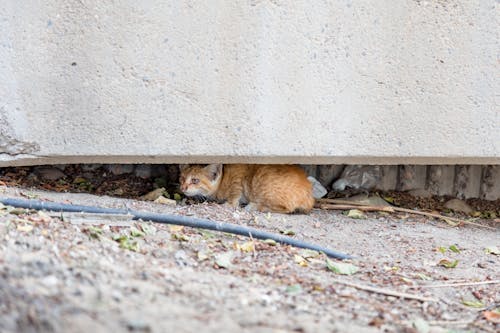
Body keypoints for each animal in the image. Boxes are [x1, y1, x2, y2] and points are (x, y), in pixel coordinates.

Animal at [178, 163, 314, 213]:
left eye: (195, 180)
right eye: (182, 178)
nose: (183, 188)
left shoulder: (238, 176)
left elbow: (235, 193)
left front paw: (229, 204)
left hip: (260, 181)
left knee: (287, 208)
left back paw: (255, 206)